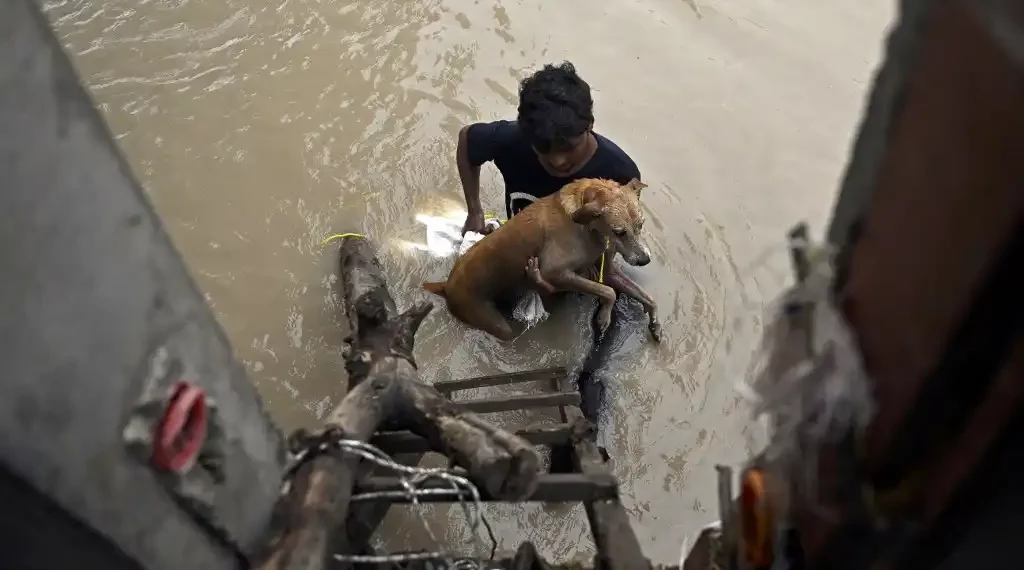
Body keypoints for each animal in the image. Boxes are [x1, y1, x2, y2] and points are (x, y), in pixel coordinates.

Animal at [419, 176, 659, 339]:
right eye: (619, 232)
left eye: (641, 225)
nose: (644, 260)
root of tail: (446, 285)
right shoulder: (555, 271)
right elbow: (609, 292)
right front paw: (604, 317)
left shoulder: (605, 271)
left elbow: (645, 296)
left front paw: (655, 323)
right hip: (490, 319)